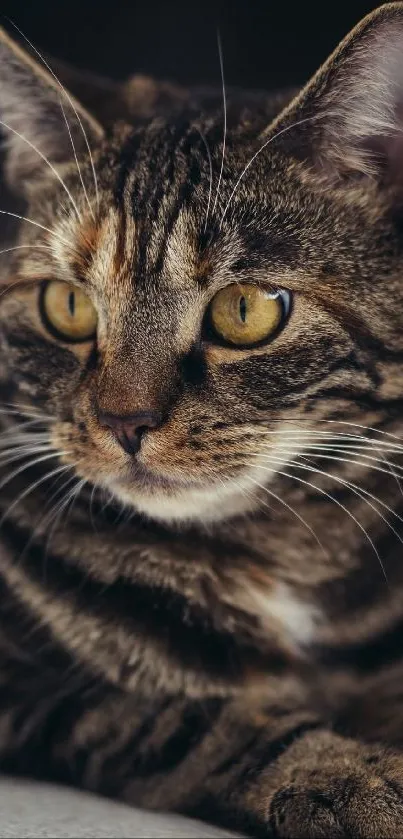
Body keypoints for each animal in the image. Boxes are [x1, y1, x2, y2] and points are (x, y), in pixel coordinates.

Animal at [0, 3, 403, 836]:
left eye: (245, 310)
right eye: (67, 305)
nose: (124, 420)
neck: (278, 558)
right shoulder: (43, 695)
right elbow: (193, 720)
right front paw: (350, 776)